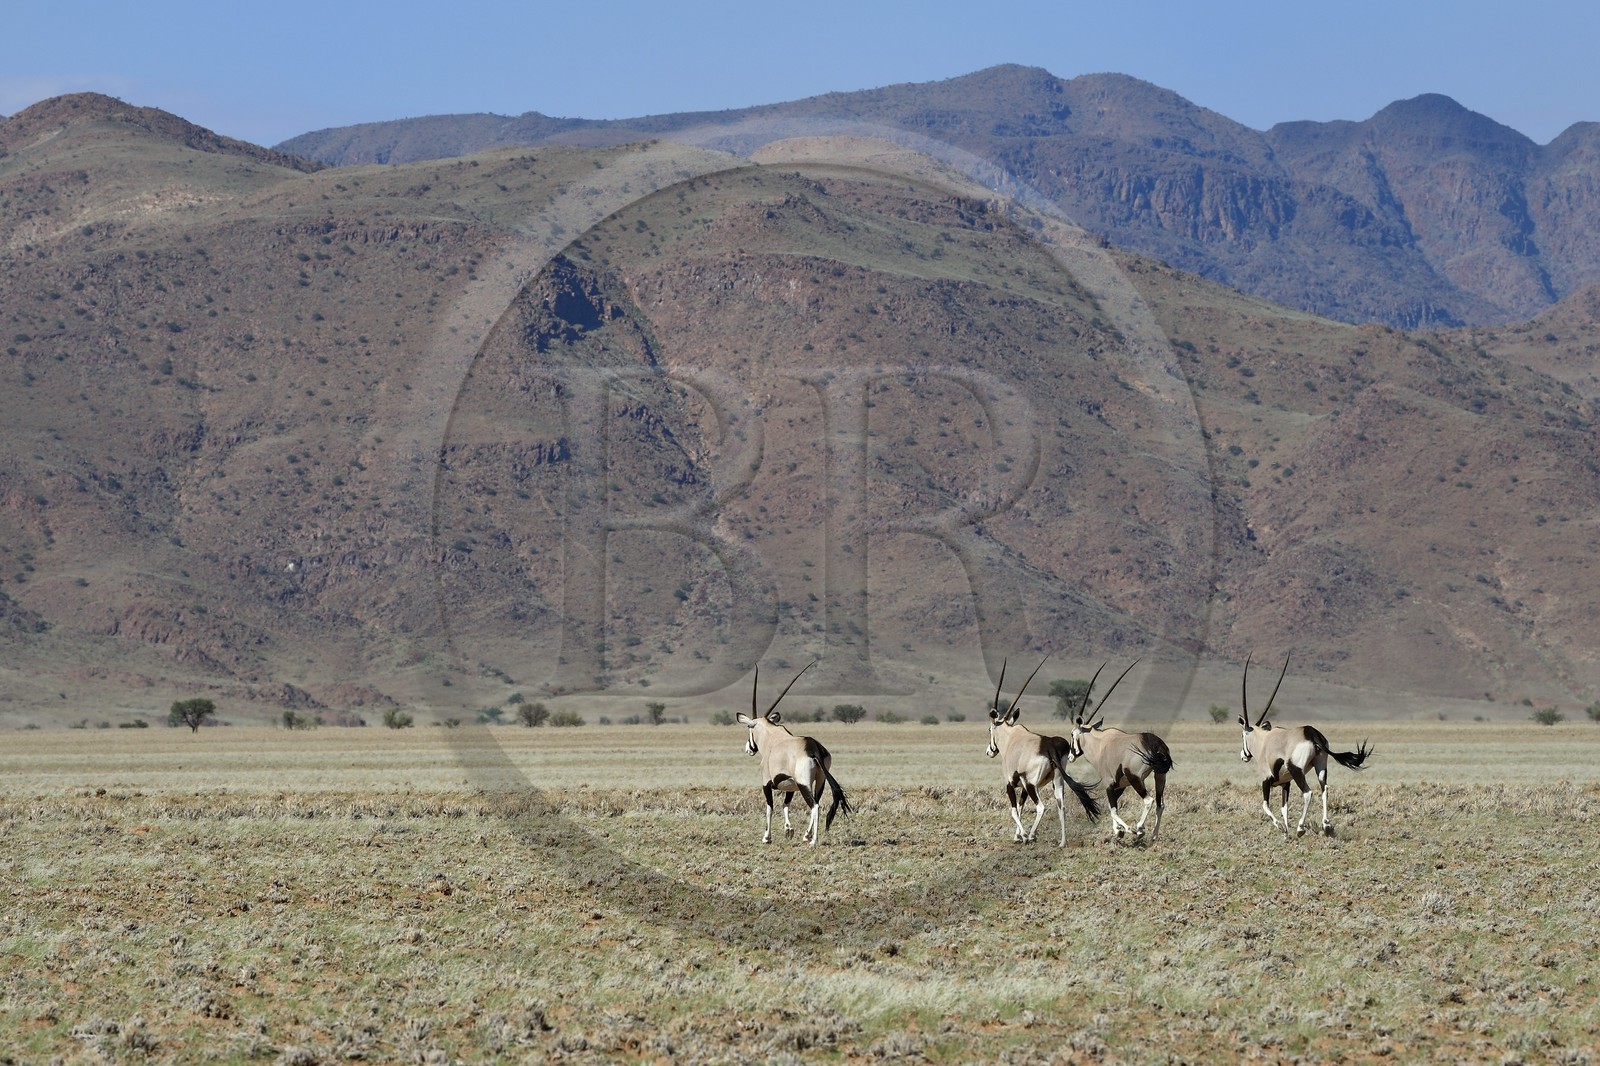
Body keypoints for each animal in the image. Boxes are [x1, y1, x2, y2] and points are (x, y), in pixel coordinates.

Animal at [736, 661, 853, 845]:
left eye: (749, 727)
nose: (749, 748)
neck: (771, 736)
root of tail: (812, 747)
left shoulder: (766, 783)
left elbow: (769, 808)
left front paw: (766, 837)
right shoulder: (791, 786)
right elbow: (785, 805)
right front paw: (788, 830)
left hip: (804, 783)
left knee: (815, 806)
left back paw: (813, 841)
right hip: (819, 781)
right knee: (816, 803)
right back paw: (806, 836)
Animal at [985, 657, 1102, 845]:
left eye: (989, 729)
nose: (989, 751)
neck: (1010, 737)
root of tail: (1050, 747)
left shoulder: (1011, 783)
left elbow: (1014, 810)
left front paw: (1022, 835)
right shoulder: (1023, 787)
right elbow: (1020, 807)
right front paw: (1017, 836)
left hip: (1033, 785)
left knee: (1041, 807)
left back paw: (1031, 835)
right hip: (1057, 781)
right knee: (1061, 807)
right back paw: (1062, 842)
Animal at [1066, 659, 1175, 843]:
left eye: (1072, 734)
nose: (1070, 756)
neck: (1100, 744)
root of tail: (1155, 744)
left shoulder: (1109, 784)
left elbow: (1112, 810)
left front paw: (1125, 830)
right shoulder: (1121, 785)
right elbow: (1113, 809)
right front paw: (1118, 831)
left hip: (1136, 778)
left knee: (1149, 800)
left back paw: (1140, 829)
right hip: (1160, 776)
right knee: (1160, 805)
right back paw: (1153, 836)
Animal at [1239, 654, 1374, 837]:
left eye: (1242, 735)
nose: (1243, 755)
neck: (1263, 741)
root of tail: (1310, 732)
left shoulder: (1266, 780)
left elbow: (1265, 805)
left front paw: (1281, 827)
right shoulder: (1285, 783)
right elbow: (1284, 808)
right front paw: (1286, 833)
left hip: (1297, 770)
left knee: (1308, 792)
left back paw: (1301, 828)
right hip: (1320, 766)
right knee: (1324, 789)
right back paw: (1326, 825)